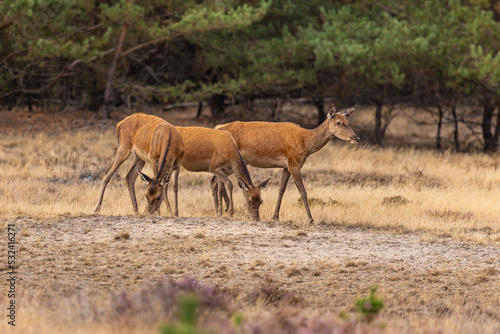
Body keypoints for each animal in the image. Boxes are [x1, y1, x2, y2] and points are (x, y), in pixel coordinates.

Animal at [212, 103, 360, 224]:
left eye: (347, 121)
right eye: (339, 122)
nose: (356, 138)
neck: (306, 144)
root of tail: (217, 127)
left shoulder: (286, 166)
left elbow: (281, 190)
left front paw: (275, 216)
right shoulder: (294, 163)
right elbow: (302, 191)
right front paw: (311, 220)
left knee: (215, 181)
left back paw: (221, 210)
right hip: (230, 160)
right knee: (217, 181)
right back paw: (222, 210)